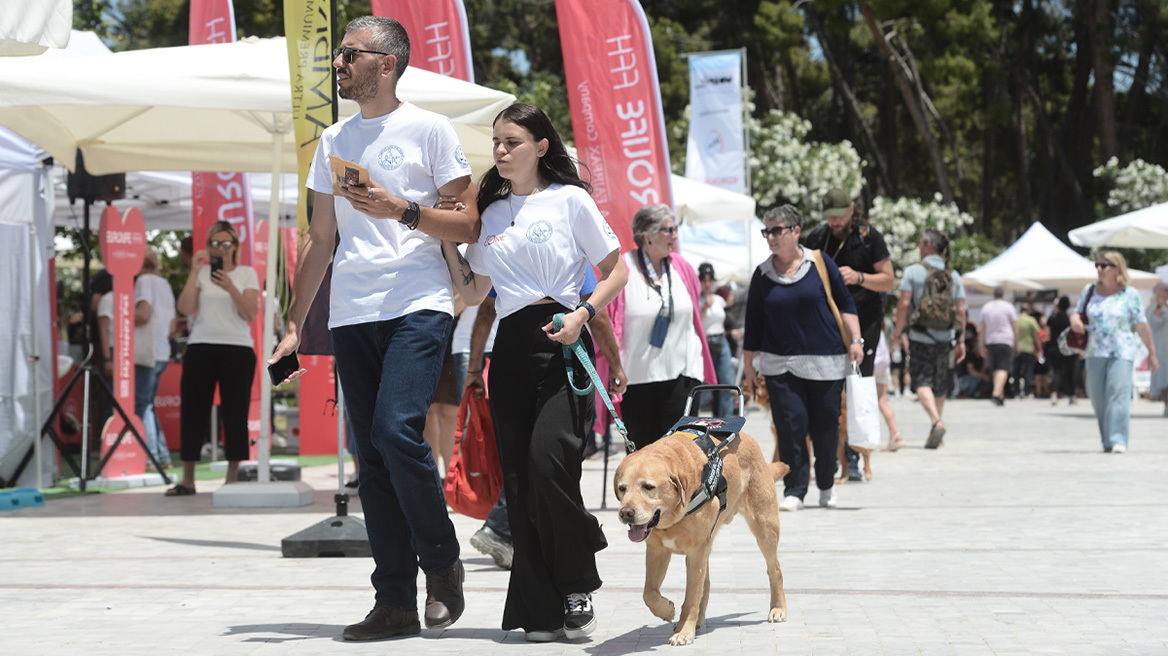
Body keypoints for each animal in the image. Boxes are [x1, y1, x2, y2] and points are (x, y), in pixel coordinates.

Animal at [612, 429, 794, 644]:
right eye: (622, 488)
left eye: (648, 487)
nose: (626, 513)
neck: (673, 516)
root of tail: (748, 437)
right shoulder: (657, 550)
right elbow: (649, 592)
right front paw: (667, 610)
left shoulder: (695, 552)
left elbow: (691, 598)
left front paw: (684, 632)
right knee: (705, 585)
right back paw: (698, 620)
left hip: (765, 527)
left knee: (775, 569)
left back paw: (778, 608)